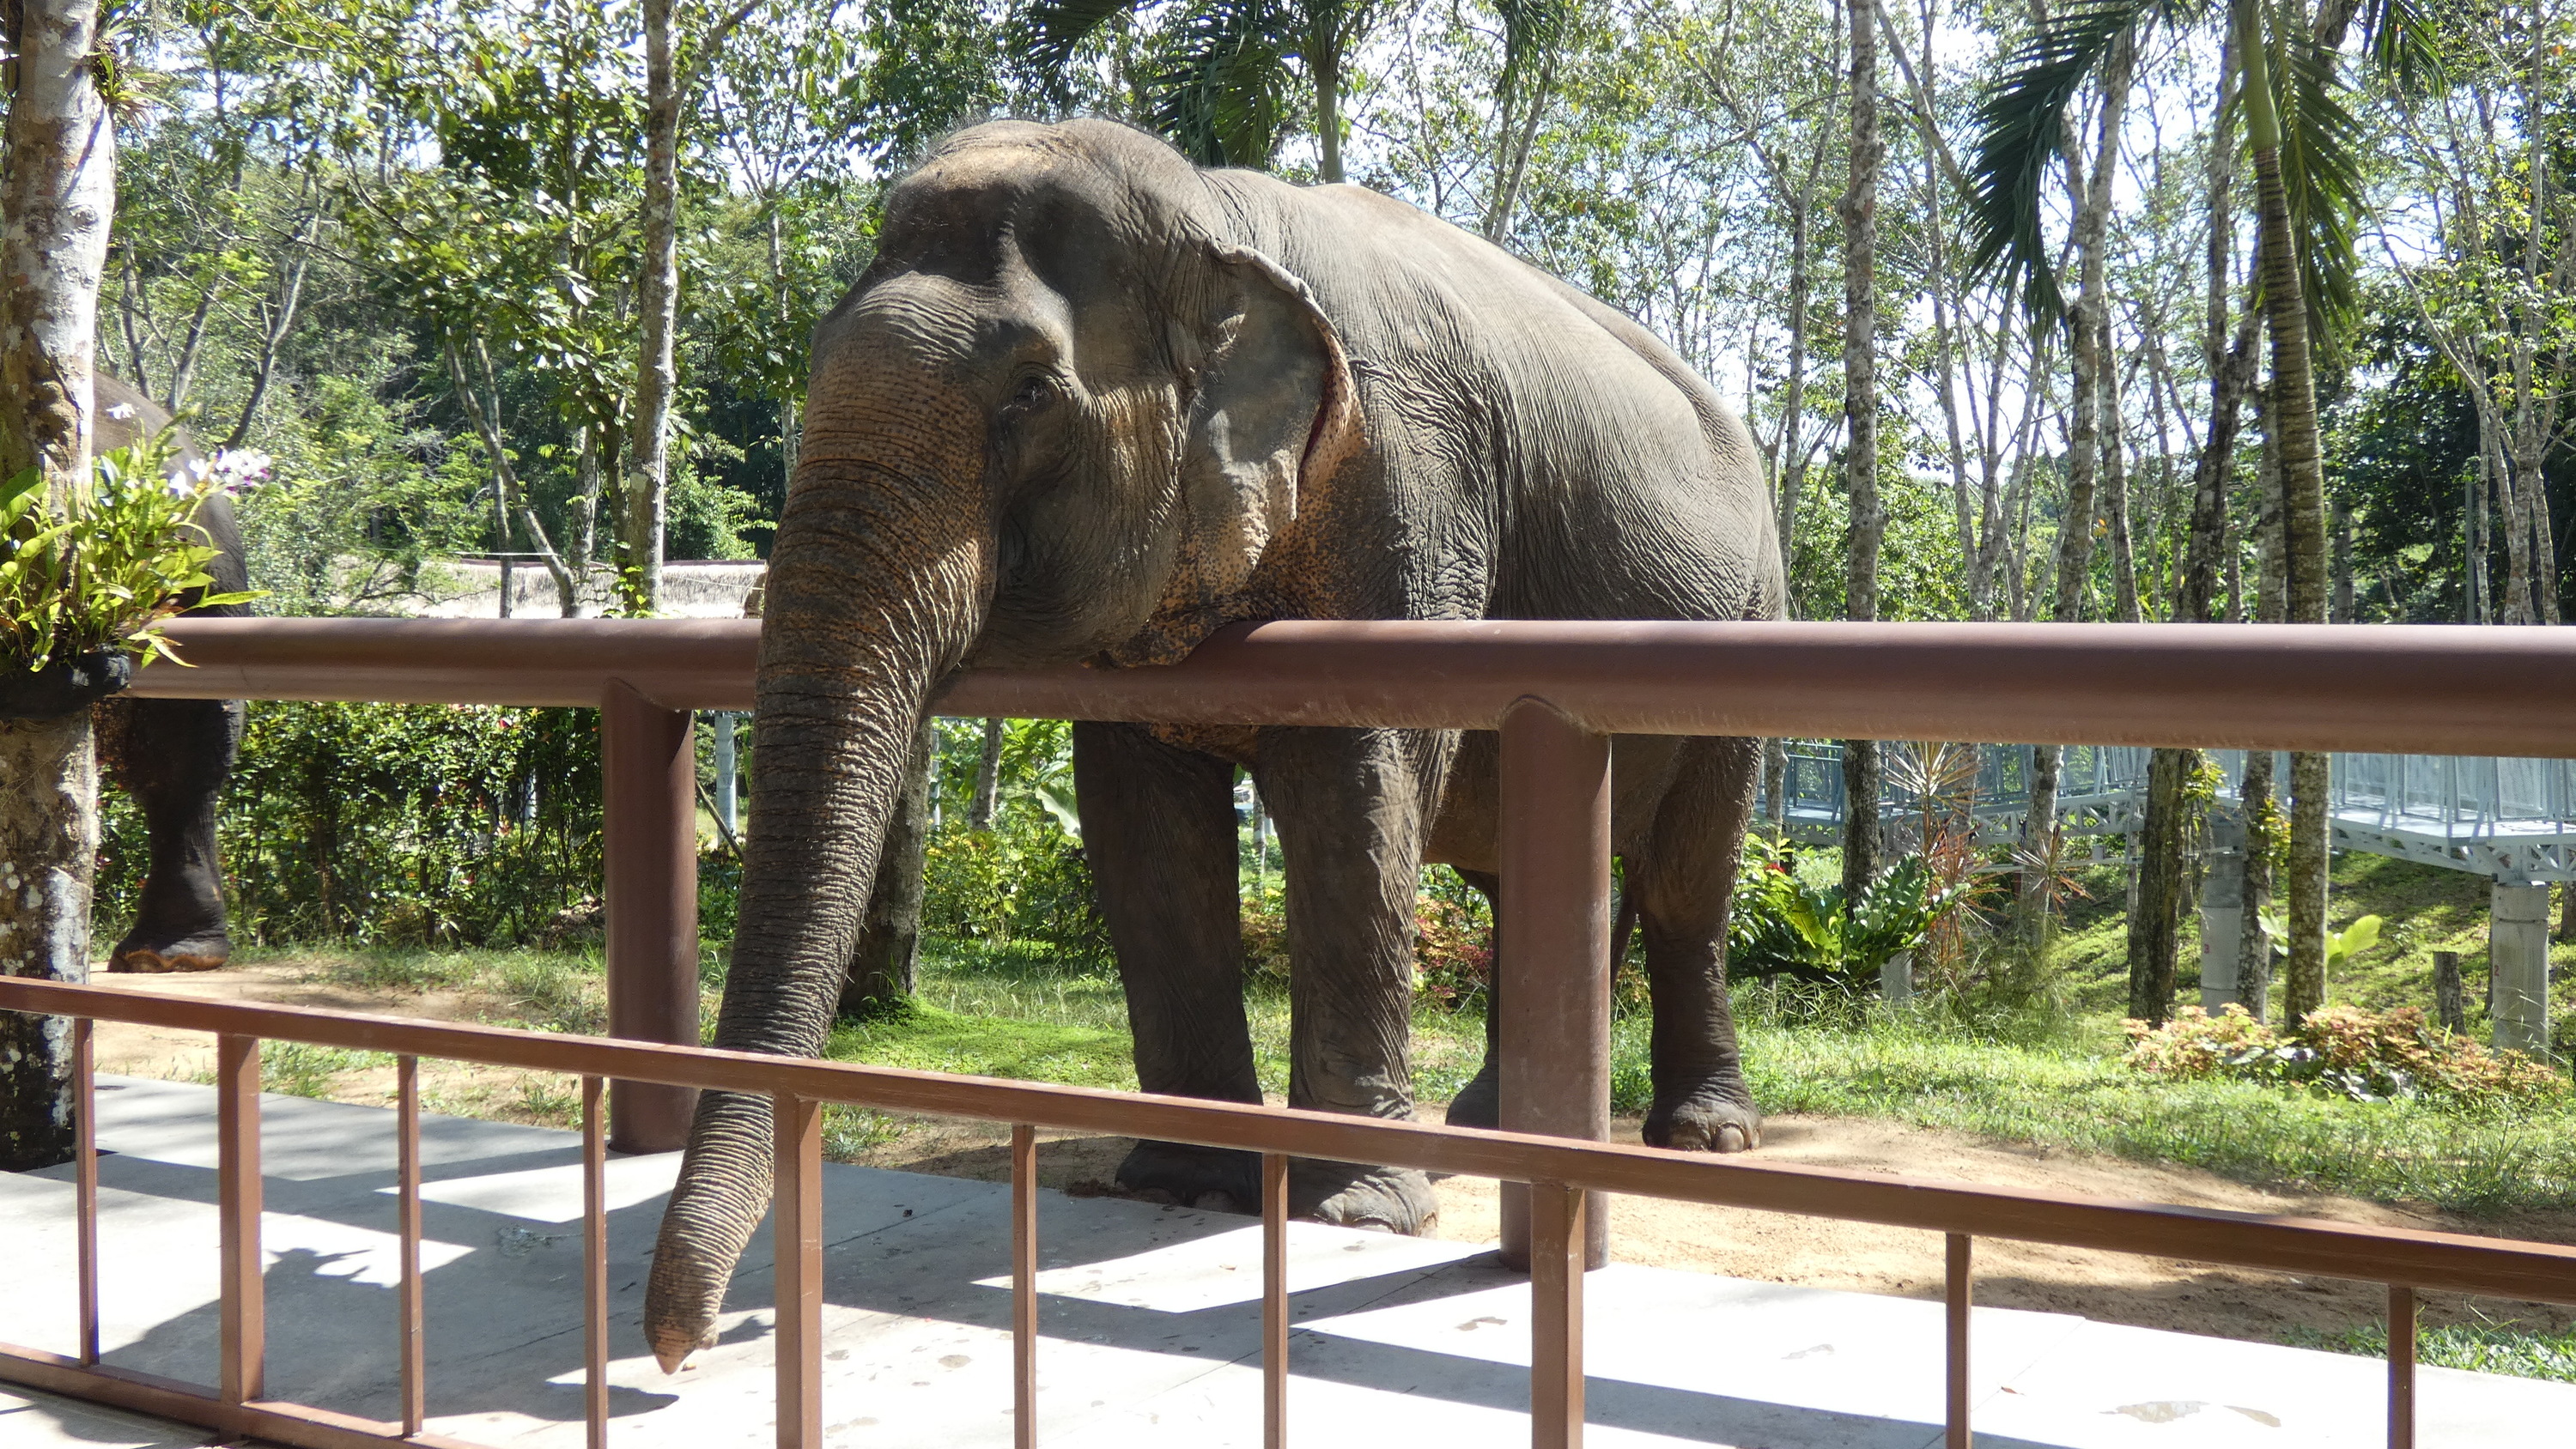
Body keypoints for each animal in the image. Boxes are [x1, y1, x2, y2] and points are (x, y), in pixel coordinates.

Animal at [643, 118, 1783, 1371]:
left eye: (1031, 392)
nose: (683, 1343)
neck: (1222, 217)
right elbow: (1138, 820)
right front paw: (1185, 1187)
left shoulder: (1412, 498)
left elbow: (1357, 795)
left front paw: (1356, 1212)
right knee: (1540, 876)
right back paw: (1492, 1122)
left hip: (1749, 617)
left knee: (1687, 882)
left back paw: (1703, 1134)